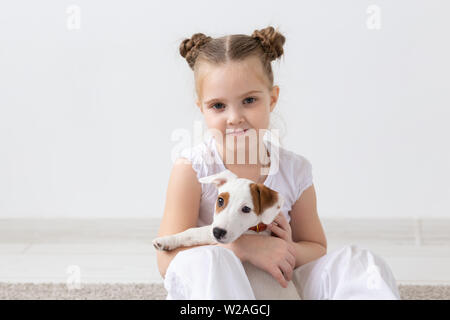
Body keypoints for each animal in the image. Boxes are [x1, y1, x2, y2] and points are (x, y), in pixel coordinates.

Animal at [153, 170, 300, 300]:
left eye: (246, 209)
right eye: (220, 201)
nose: (217, 232)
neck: (257, 227)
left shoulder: (212, 235)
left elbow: (193, 232)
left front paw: (166, 241)